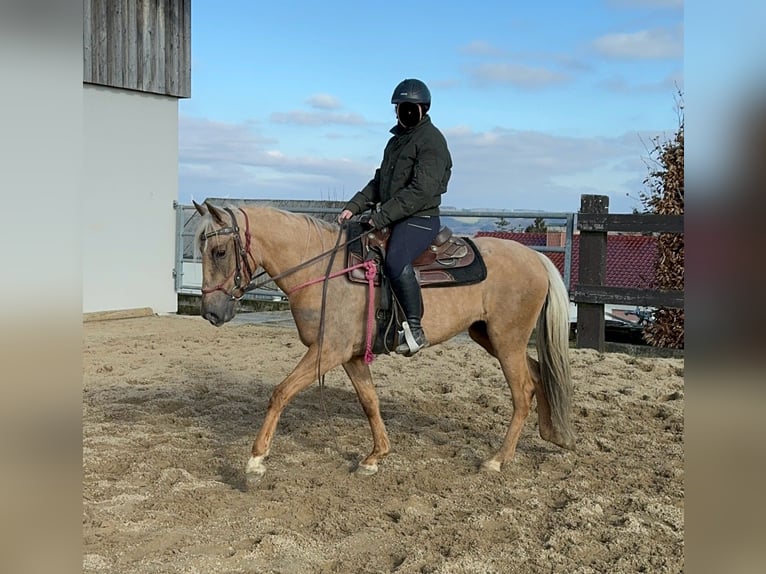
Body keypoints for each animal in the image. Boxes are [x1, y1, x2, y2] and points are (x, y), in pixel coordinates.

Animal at [194, 200, 576, 488]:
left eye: (219, 251)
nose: (211, 312)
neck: (321, 270)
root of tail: (536, 258)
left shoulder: (327, 351)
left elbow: (281, 393)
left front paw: (255, 462)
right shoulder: (349, 356)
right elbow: (370, 402)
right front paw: (375, 457)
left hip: (507, 339)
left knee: (523, 391)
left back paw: (498, 459)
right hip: (489, 336)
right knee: (538, 374)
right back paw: (554, 434)